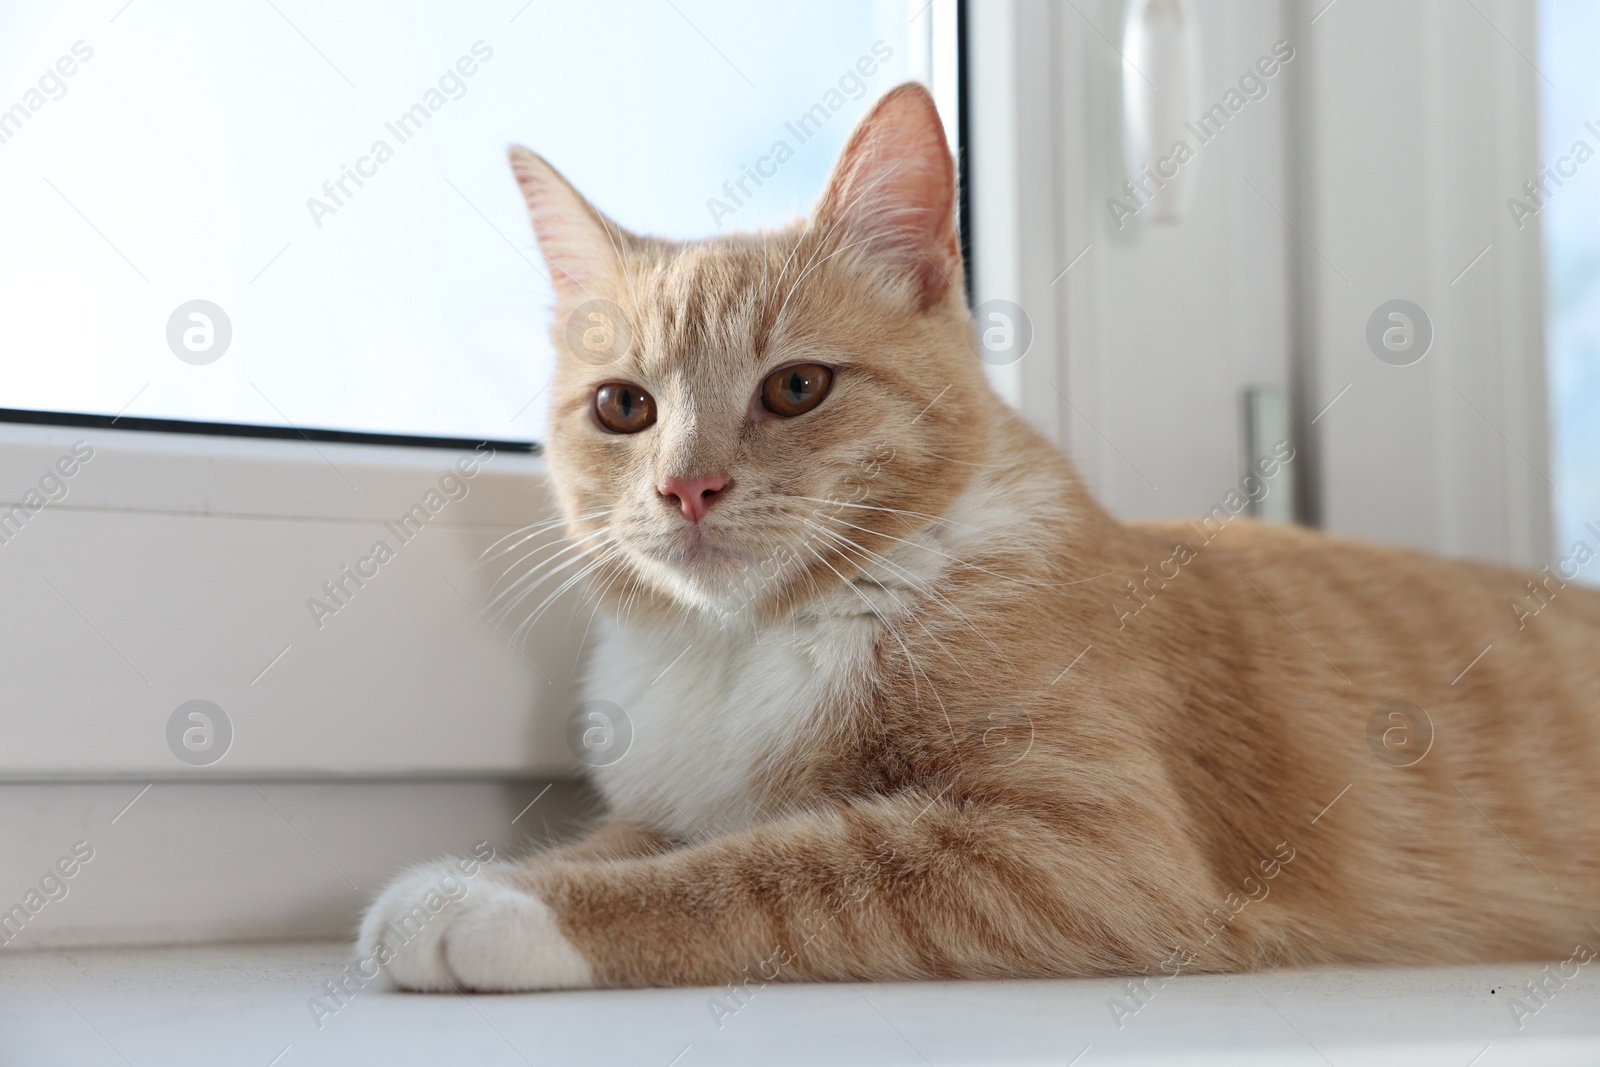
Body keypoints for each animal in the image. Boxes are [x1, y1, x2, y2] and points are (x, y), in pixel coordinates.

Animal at [356, 83, 1600, 991]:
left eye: (796, 386)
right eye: (623, 407)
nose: (686, 486)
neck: (749, 645)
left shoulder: (1084, 849)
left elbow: (768, 866)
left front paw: (491, 905)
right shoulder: (672, 801)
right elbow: (646, 838)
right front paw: (478, 875)